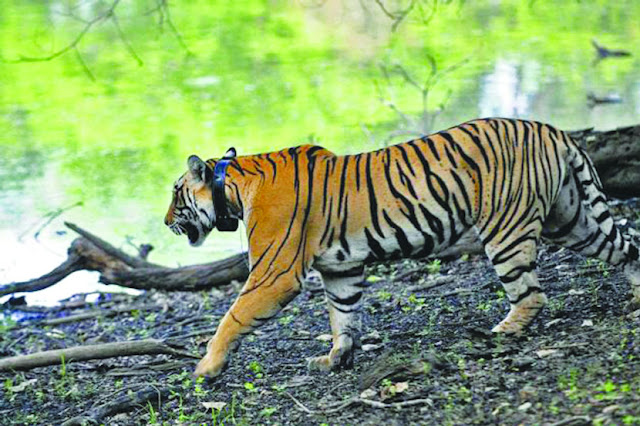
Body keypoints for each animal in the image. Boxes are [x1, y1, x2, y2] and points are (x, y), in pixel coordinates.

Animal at [164, 116, 640, 376]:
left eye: (174, 193)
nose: (166, 222)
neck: (234, 184)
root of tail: (551, 128)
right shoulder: (341, 268)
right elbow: (343, 316)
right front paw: (335, 359)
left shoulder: (274, 273)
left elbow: (232, 317)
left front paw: (207, 368)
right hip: (570, 219)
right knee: (626, 244)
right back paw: (635, 296)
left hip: (506, 229)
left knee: (532, 295)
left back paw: (503, 331)